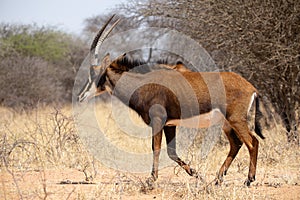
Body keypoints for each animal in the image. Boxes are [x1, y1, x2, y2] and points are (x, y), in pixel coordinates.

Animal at [78, 15, 264, 186]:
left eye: (93, 74)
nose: (80, 96)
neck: (144, 82)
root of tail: (251, 87)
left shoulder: (158, 120)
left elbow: (156, 148)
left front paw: (152, 179)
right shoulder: (170, 124)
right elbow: (171, 152)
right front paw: (197, 175)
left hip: (236, 119)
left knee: (252, 142)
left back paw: (249, 180)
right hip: (226, 123)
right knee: (236, 144)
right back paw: (217, 179)